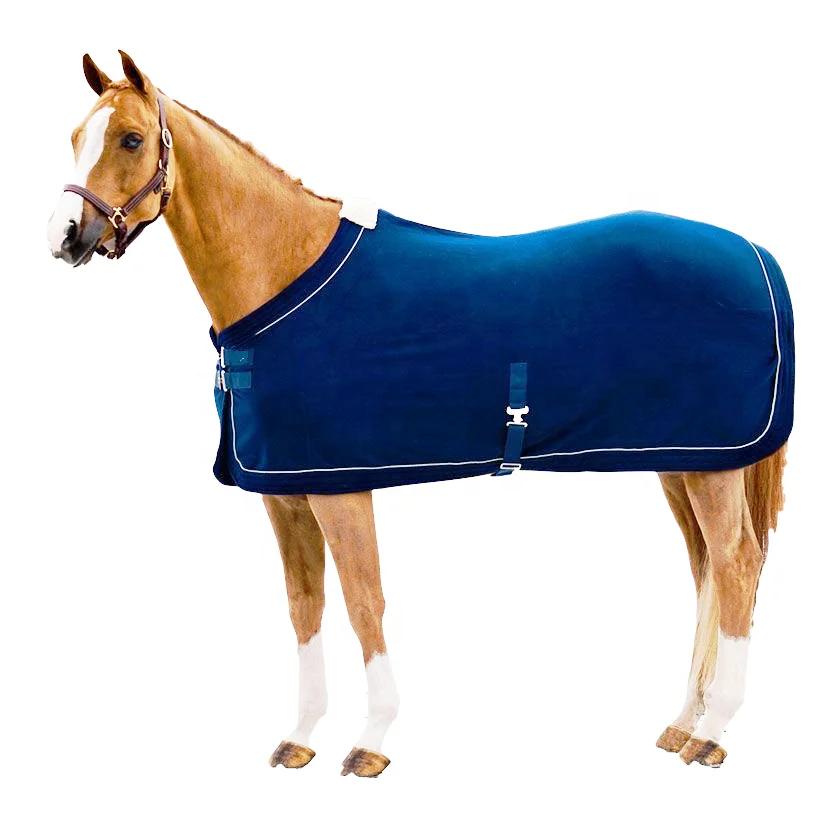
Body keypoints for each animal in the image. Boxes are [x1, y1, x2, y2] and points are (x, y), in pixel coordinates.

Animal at [46, 51, 791, 777]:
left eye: (131, 138)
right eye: (77, 136)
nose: (66, 237)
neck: (285, 271)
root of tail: (758, 257)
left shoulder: (339, 487)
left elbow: (363, 600)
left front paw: (371, 739)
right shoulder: (284, 495)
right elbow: (304, 606)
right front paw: (301, 735)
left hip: (711, 468)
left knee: (735, 565)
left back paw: (712, 733)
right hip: (682, 463)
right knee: (706, 571)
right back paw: (684, 722)